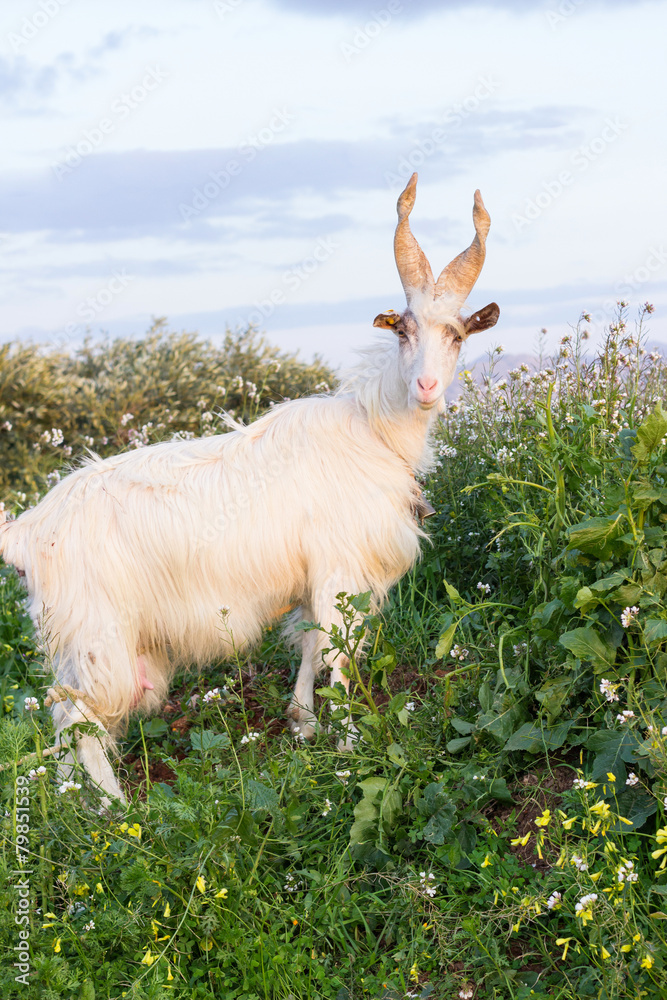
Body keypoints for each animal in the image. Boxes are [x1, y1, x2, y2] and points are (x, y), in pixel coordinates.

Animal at [0, 173, 499, 801]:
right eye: (404, 330)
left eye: (456, 336)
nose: (428, 387)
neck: (373, 430)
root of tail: (25, 530)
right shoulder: (342, 569)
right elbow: (339, 658)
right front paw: (350, 747)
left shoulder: (314, 577)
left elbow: (309, 646)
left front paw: (303, 724)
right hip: (97, 636)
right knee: (76, 715)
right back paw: (115, 808)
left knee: (65, 720)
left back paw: (75, 799)